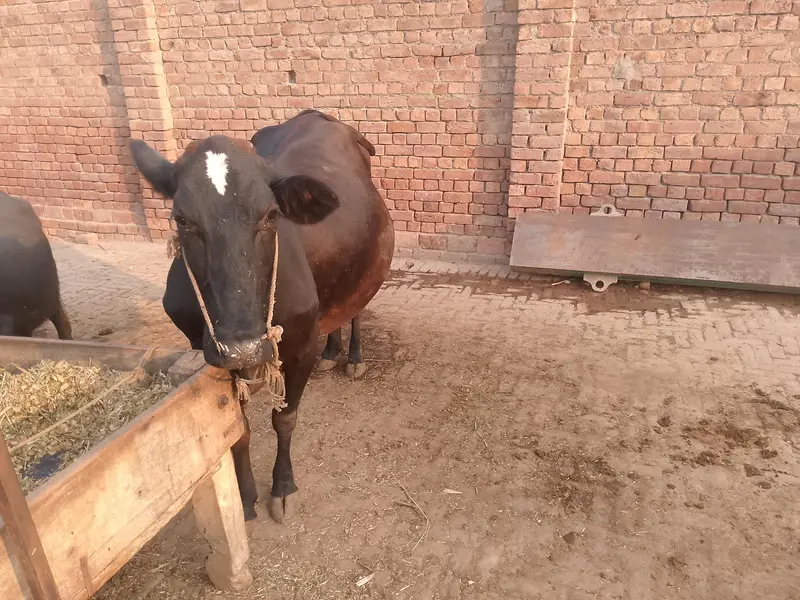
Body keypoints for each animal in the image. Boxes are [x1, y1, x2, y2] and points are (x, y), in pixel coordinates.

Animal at [130, 109, 394, 523]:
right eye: (182, 220)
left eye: (271, 215)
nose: (243, 348)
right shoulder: (206, 354)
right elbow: (238, 429)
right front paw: (246, 496)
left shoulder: (301, 344)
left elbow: (284, 418)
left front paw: (283, 487)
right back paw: (332, 351)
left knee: (356, 309)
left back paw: (352, 356)